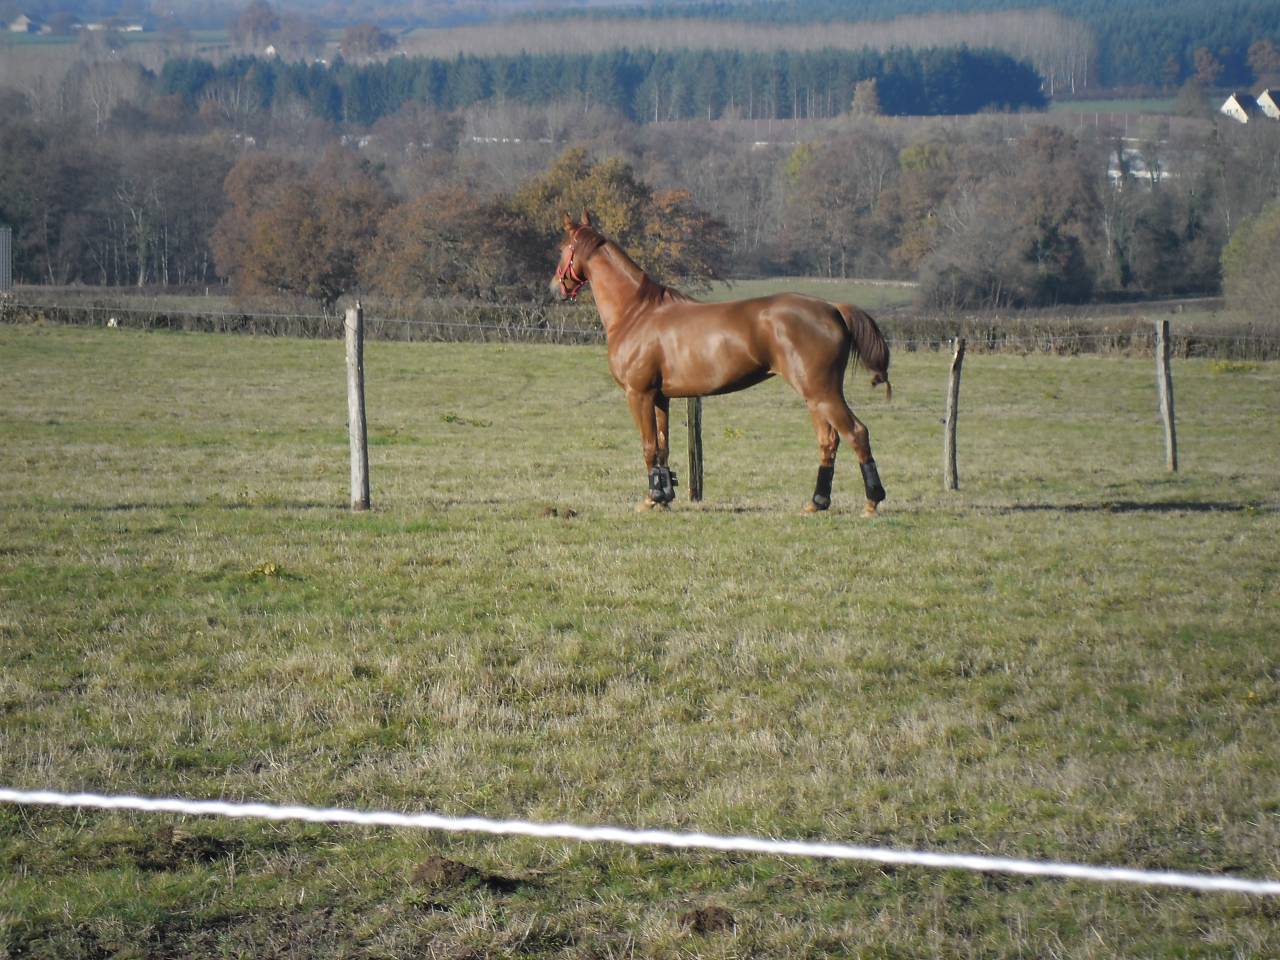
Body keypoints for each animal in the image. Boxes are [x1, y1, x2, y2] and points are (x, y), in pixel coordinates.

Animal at [553, 211, 891, 515]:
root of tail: (833, 309)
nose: (555, 288)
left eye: (562, 248)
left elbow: (649, 447)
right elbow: (663, 447)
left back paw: (872, 502)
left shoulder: (639, 394)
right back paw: (817, 502)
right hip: (815, 397)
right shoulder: (660, 397)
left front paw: (651, 499)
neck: (637, 312)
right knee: (828, 441)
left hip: (822, 393)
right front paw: (664, 496)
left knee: (856, 433)